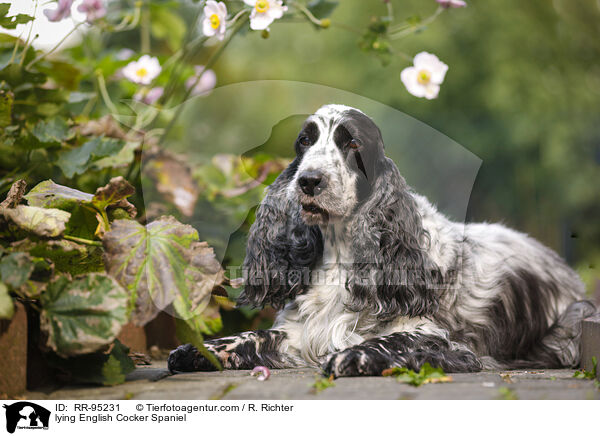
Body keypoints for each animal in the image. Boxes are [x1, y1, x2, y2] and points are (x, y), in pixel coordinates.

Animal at [169, 104, 596, 376]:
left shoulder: (438, 337)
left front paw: (353, 358)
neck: (342, 253)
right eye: (304, 142)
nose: (308, 181)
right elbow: (249, 336)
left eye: (353, 143)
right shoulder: (300, 331)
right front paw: (196, 351)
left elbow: (393, 342)